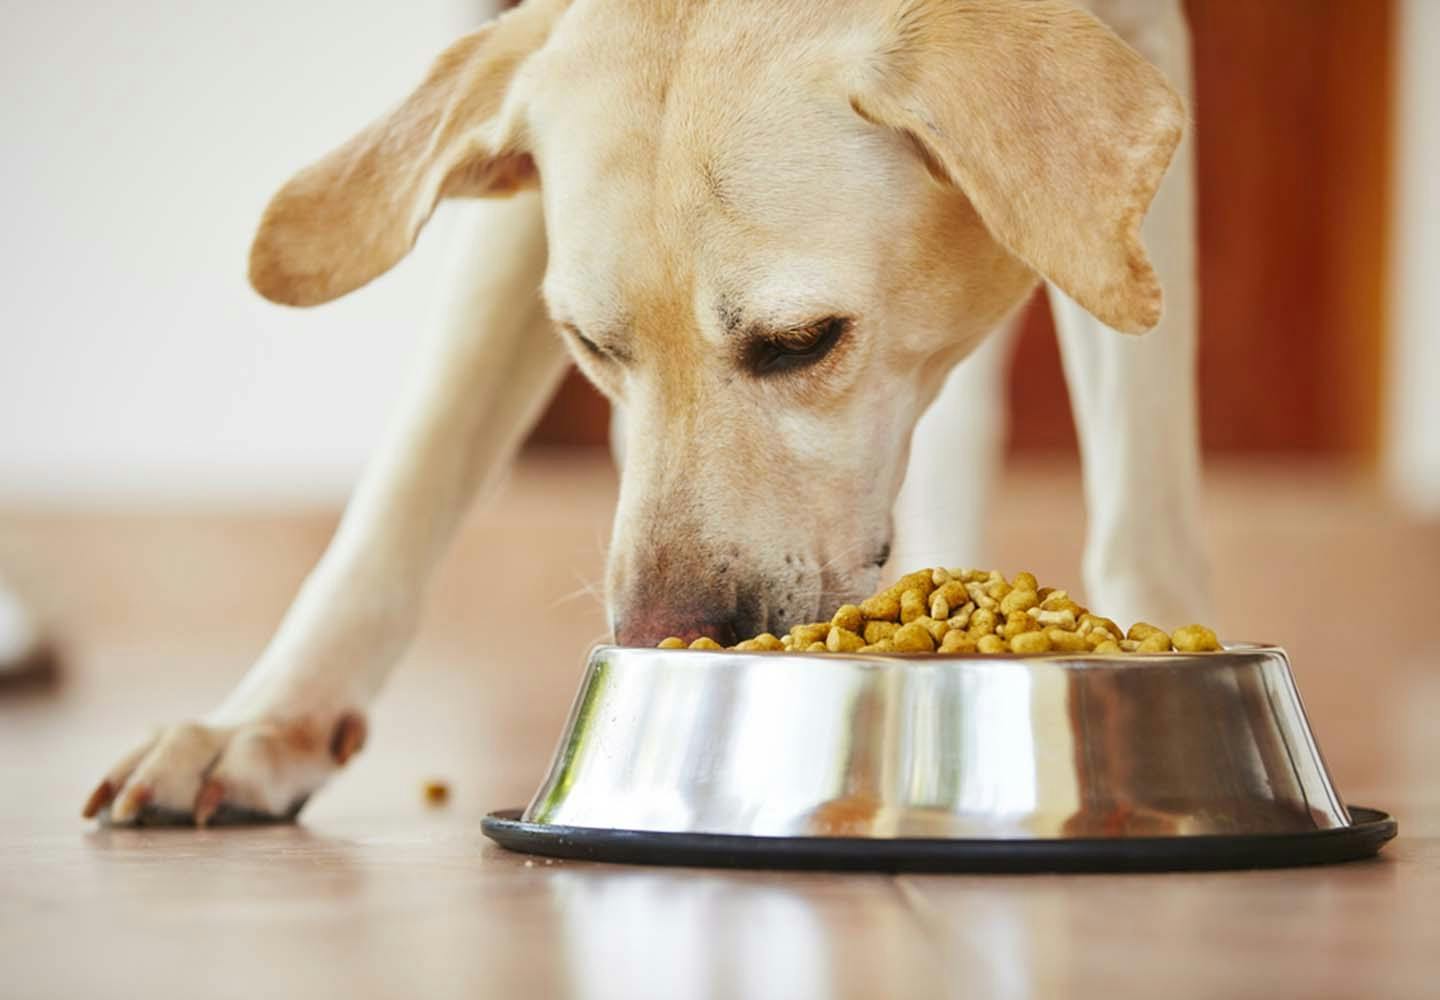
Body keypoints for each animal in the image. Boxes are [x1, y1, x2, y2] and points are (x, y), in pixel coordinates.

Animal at [81, 0, 1203, 829]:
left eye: (803, 341)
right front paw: (268, 721)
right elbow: (412, 476)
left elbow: (1143, 490)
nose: (659, 638)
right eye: (589, 344)